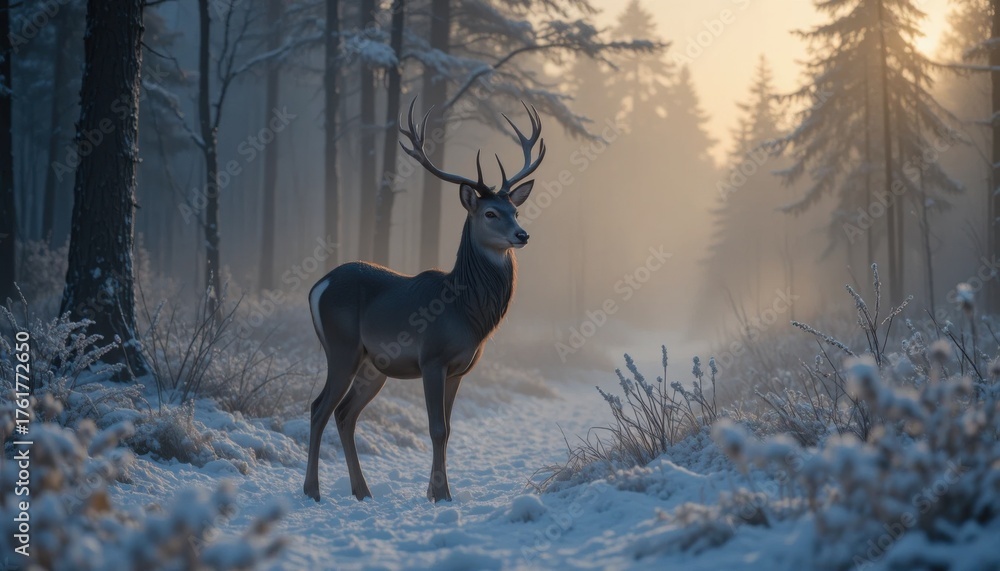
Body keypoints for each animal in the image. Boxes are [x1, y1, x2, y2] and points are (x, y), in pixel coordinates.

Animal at [303, 99, 545, 503]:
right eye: (490, 213)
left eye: (515, 210)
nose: (522, 234)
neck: (467, 310)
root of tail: (317, 286)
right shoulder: (432, 357)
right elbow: (436, 428)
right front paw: (442, 494)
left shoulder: (460, 368)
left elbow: (448, 429)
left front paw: (435, 491)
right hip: (341, 347)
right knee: (319, 407)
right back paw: (312, 491)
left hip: (372, 365)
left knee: (346, 414)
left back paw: (362, 491)